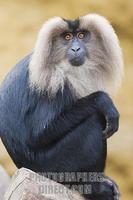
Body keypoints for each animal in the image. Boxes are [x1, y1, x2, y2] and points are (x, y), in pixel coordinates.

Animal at [0, 14, 123, 200]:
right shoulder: (54, 81)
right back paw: (93, 188)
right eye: (67, 37)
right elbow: (40, 133)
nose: (75, 49)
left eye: (81, 35)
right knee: (93, 120)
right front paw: (103, 101)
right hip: (54, 167)